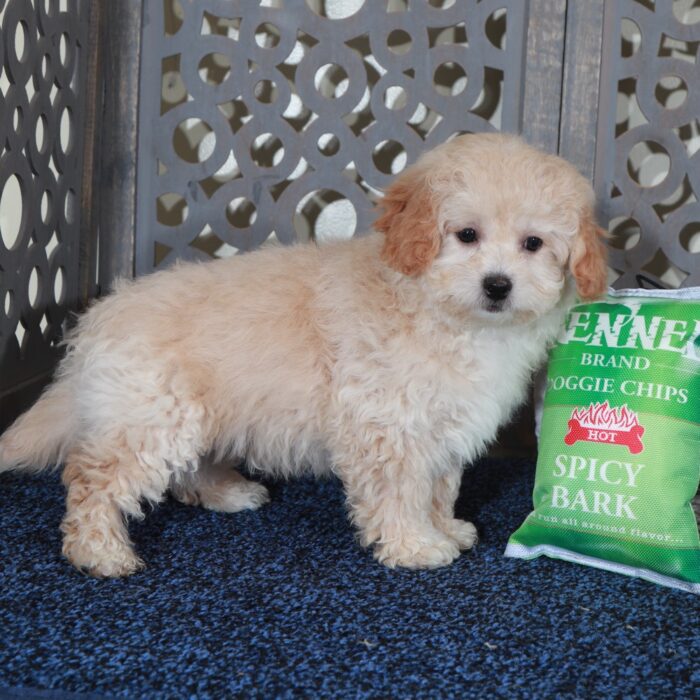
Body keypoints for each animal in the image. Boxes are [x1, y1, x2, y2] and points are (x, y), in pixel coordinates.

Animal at [0, 134, 608, 576]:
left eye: (533, 244)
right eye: (466, 235)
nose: (498, 285)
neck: (449, 318)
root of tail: (99, 320)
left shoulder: (444, 427)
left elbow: (439, 486)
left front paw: (446, 527)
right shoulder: (387, 425)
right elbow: (400, 493)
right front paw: (415, 545)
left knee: (185, 469)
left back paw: (225, 492)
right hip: (151, 418)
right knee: (92, 479)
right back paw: (99, 552)